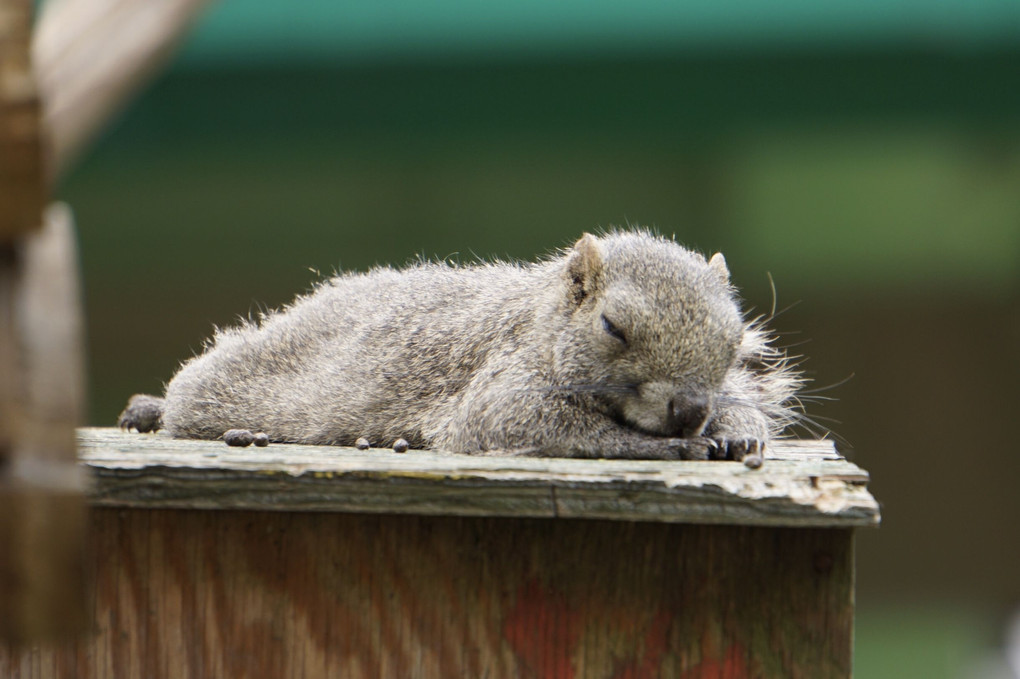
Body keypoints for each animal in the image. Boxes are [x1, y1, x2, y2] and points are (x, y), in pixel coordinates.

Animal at [117, 228, 803, 464]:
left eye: (735, 341)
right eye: (612, 327)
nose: (689, 411)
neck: (543, 324)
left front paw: (739, 431)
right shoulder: (501, 390)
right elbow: (529, 423)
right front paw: (670, 446)